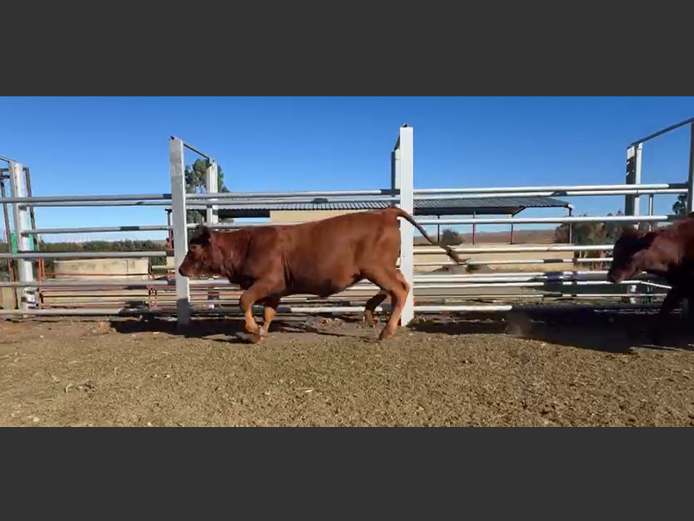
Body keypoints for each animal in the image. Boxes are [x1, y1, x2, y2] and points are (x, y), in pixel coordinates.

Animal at [178, 206, 466, 343]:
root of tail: (386, 211)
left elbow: (244, 300)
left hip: (377, 267)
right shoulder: (276, 290)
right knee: (395, 288)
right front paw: (261, 332)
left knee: (400, 289)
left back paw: (386, 331)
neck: (245, 245)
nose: (180, 269)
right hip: (378, 269)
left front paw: (253, 330)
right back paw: (371, 312)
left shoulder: (267, 281)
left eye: (194, 247)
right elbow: (268, 312)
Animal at [607, 213, 694, 344]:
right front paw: (655, 335)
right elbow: (667, 304)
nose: (611, 276)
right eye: (615, 252)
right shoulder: (681, 284)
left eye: (630, 256)